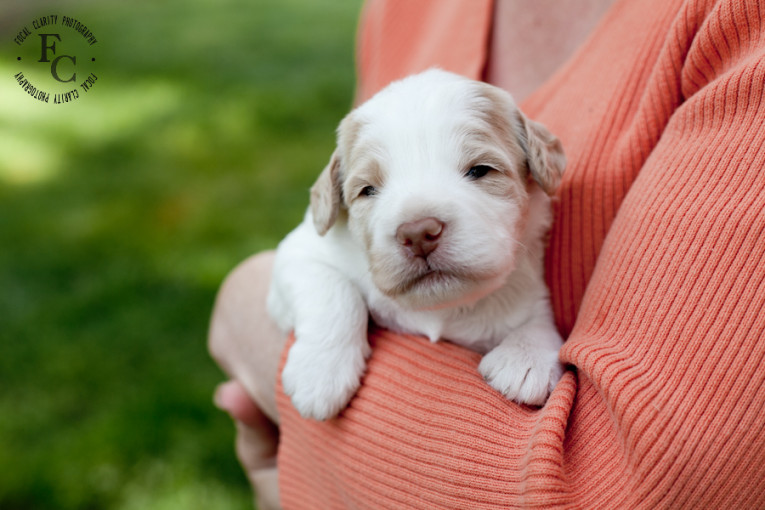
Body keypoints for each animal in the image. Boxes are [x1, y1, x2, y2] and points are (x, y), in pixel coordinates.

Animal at [266, 69, 564, 420]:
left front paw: (527, 356)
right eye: (367, 190)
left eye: (480, 170)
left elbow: (537, 314)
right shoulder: (299, 252)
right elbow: (331, 290)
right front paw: (319, 374)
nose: (419, 233)